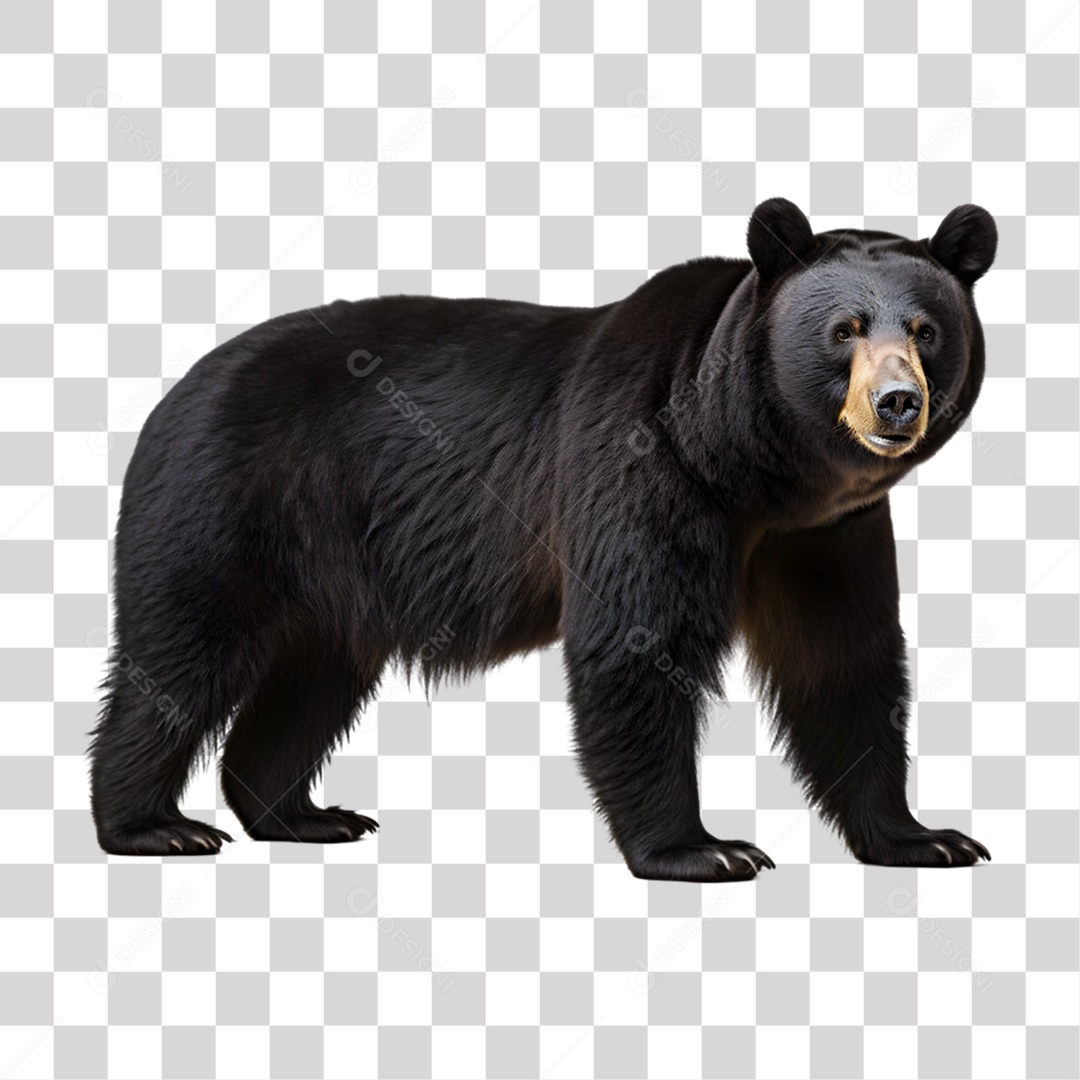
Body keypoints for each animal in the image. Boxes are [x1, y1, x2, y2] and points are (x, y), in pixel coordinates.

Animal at [89, 197, 997, 882]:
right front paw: (703, 849)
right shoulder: (643, 464)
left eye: (926, 329)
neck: (753, 470)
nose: (896, 403)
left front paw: (925, 837)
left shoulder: (823, 534)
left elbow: (844, 659)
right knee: (182, 653)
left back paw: (297, 812)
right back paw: (152, 824)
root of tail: (176, 389)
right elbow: (637, 641)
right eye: (845, 328)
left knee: (311, 678)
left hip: (335, 571)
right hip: (228, 499)